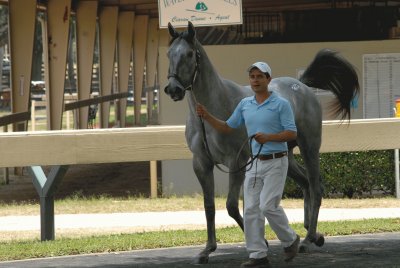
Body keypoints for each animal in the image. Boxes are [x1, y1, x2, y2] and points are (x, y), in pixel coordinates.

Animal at [163, 22, 360, 264]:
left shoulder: (236, 162)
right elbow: (209, 206)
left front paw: (262, 242)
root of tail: (301, 85)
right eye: (169, 53)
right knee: (305, 183)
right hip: (287, 156)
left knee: (316, 186)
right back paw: (312, 234)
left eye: (190, 54)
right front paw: (207, 250)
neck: (212, 112)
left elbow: (231, 206)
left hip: (310, 148)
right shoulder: (201, 163)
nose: (173, 89)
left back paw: (307, 239)